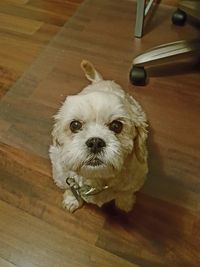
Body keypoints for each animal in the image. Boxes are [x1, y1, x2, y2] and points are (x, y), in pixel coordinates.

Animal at [49, 60, 148, 214]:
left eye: (116, 125)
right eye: (75, 125)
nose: (95, 142)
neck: (96, 179)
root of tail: (101, 81)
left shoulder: (136, 178)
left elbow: (125, 193)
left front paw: (125, 204)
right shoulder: (63, 176)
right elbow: (71, 189)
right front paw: (72, 200)